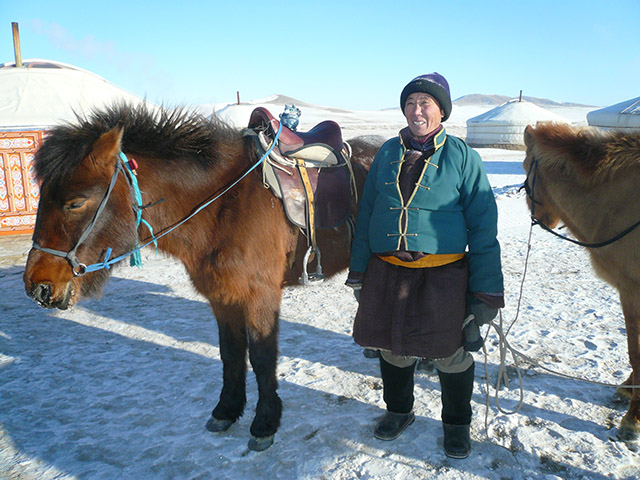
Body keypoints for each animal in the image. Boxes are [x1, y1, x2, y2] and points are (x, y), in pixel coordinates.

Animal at [22, 103, 381, 451]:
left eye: (75, 202)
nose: (37, 287)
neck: (224, 206)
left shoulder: (261, 295)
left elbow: (262, 358)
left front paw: (265, 422)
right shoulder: (222, 296)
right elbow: (231, 354)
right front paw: (227, 409)